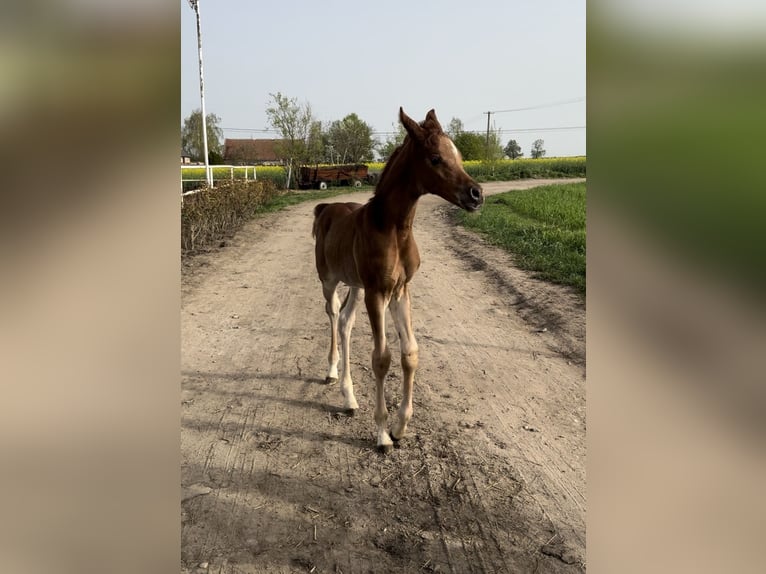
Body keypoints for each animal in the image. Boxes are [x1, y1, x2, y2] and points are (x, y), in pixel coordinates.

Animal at [310, 106, 480, 452]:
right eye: (435, 158)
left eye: (458, 155)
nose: (476, 194)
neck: (393, 229)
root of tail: (324, 208)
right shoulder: (377, 292)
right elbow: (382, 358)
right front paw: (382, 434)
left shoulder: (400, 291)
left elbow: (410, 353)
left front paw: (401, 427)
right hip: (330, 280)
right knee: (333, 315)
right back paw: (332, 372)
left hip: (356, 285)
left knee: (346, 322)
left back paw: (349, 398)